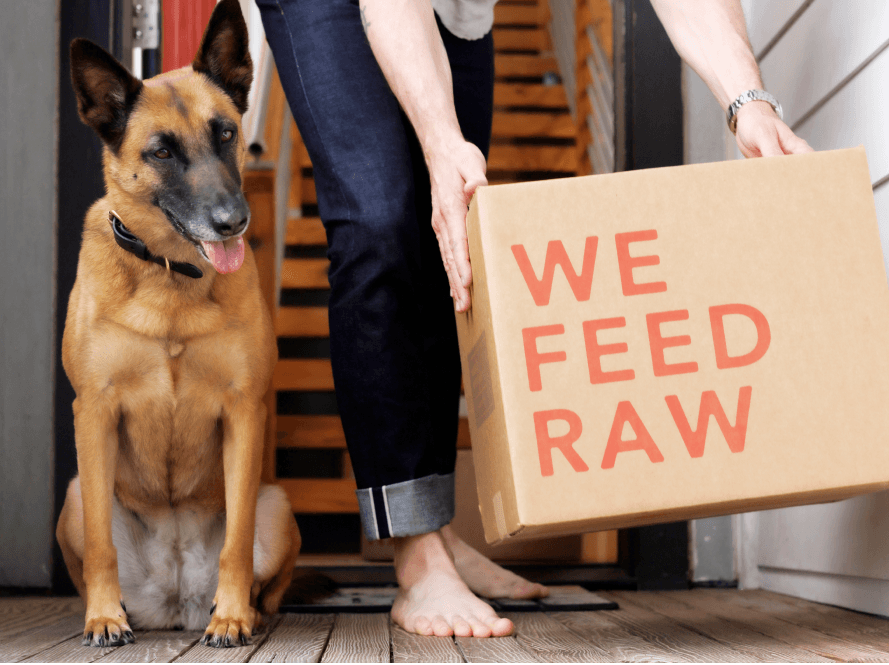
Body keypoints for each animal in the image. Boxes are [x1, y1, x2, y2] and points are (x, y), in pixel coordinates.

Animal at [59, 0, 304, 644]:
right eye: (162, 152)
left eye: (226, 134)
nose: (233, 221)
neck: (171, 275)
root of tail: (172, 600)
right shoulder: (94, 411)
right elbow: (101, 546)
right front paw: (103, 616)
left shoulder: (244, 411)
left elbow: (236, 541)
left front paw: (233, 615)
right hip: (73, 494)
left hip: (278, 505)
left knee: (265, 570)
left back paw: (245, 611)